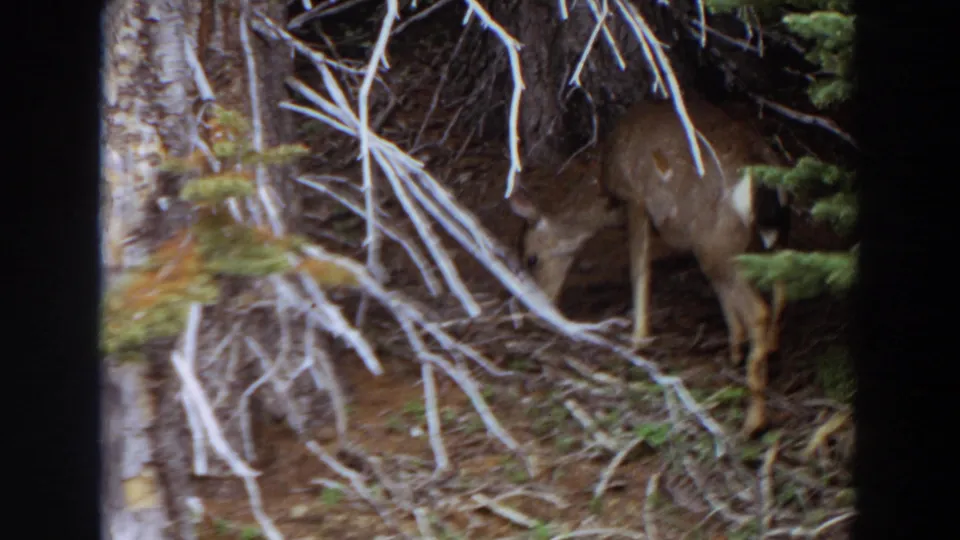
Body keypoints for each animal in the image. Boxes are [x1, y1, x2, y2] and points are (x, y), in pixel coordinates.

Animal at [508, 96, 791, 436]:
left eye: (531, 258)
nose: (538, 308)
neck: (606, 190)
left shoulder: (635, 197)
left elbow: (639, 268)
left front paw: (638, 337)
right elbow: (719, 291)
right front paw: (735, 346)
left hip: (717, 239)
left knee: (759, 309)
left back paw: (754, 421)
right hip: (765, 236)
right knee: (781, 284)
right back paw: (768, 352)